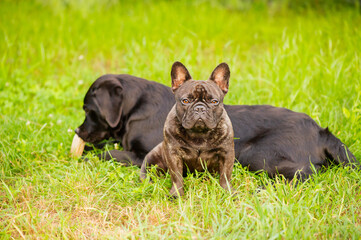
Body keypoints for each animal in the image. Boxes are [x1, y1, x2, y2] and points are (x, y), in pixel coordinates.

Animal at [75, 70, 358, 179]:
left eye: (89, 110)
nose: (77, 130)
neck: (135, 108)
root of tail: (320, 131)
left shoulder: (144, 154)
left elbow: (110, 153)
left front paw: (87, 158)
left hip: (255, 153)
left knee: (305, 173)